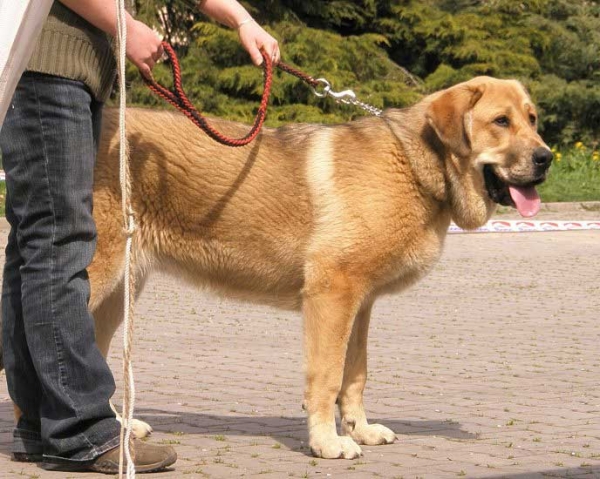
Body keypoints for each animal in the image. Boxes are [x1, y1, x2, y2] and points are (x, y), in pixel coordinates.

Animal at [44, 77, 556, 460]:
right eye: (501, 122)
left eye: (532, 120)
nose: (547, 158)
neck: (413, 164)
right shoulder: (332, 296)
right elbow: (326, 378)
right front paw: (328, 442)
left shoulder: (359, 306)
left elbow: (355, 376)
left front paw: (360, 429)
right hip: (96, 280)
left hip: (118, 293)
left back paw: (118, 426)